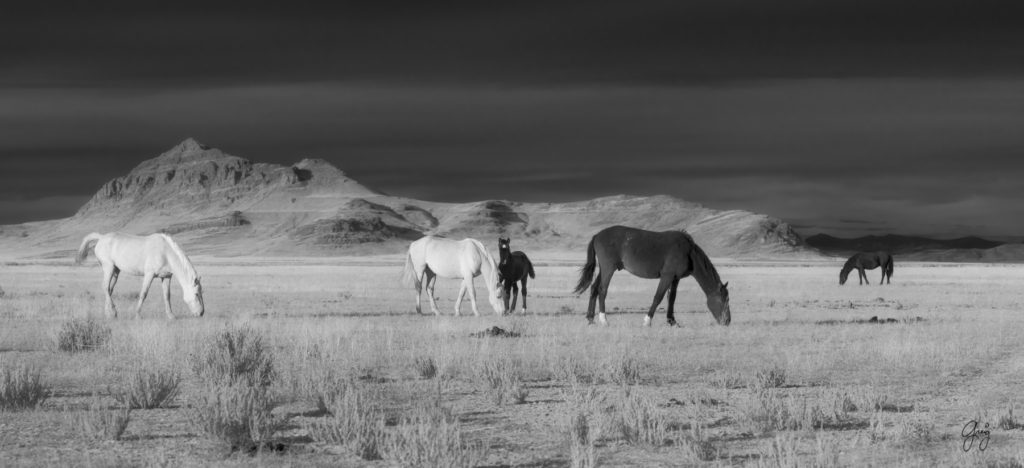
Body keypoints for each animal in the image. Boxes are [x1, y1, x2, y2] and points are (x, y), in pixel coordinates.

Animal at [74, 232, 204, 319]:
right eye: (196, 294)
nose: (201, 313)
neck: (165, 253)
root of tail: (101, 238)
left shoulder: (166, 277)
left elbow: (167, 296)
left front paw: (171, 316)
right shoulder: (149, 275)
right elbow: (143, 294)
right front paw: (137, 315)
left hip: (115, 271)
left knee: (109, 290)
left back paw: (109, 314)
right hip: (108, 268)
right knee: (105, 287)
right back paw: (114, 312)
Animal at [573, 225, 733, 325]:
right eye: (724, 300)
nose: (727, 321)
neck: (688, 253)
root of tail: (597, 235)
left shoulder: (675, 279)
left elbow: (672, 299)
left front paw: (672, 321)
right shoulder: (667, 276)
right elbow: (658, 297)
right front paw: (647, 321)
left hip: (604, 269)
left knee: (594, 288)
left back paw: (590, 319)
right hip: (608, 268)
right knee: (602, 290)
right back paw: (604, 320)